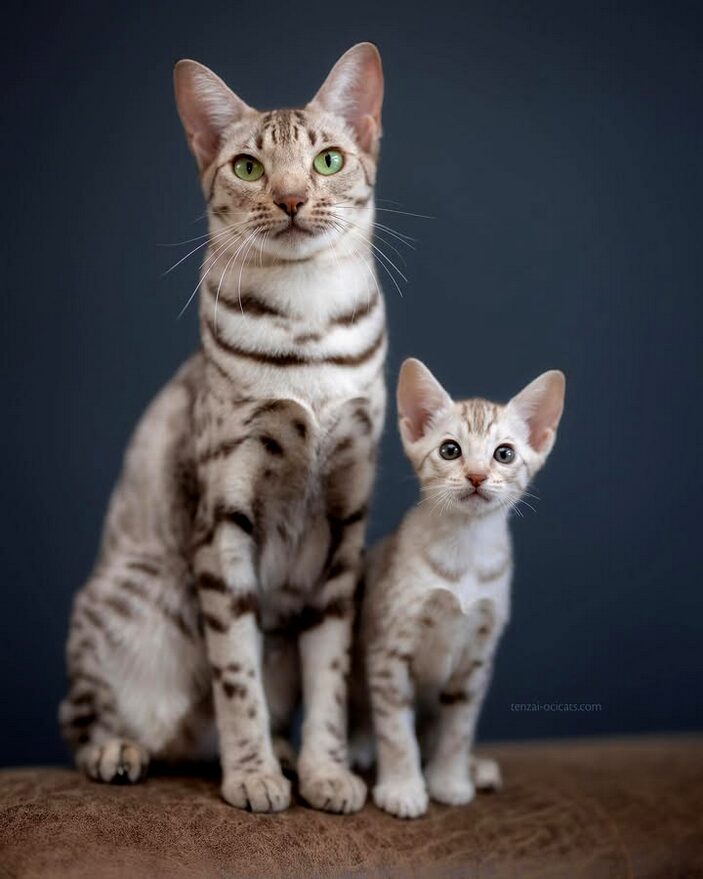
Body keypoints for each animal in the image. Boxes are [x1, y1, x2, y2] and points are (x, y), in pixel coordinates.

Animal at [60, 39, 388, 812]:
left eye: (327, 159)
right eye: (248, 167)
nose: (292, 198)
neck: (309, 328)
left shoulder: (345, 525)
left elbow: (329, 679)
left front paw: (326, 771)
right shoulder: (225, 518)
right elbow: (235, 673)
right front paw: (253, 775)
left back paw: (292, 756)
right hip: (122, 600)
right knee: (88, 717)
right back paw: (123, 751)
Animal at [360, 358, 564, 820]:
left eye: (504, 453)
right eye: (450, 450)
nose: (476, 475)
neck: (465, 557)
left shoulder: (477, 658)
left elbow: (458, 728)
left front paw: (450, 780)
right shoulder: (388, 650)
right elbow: (396, 731)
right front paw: (403, 787)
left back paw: (475, 768)